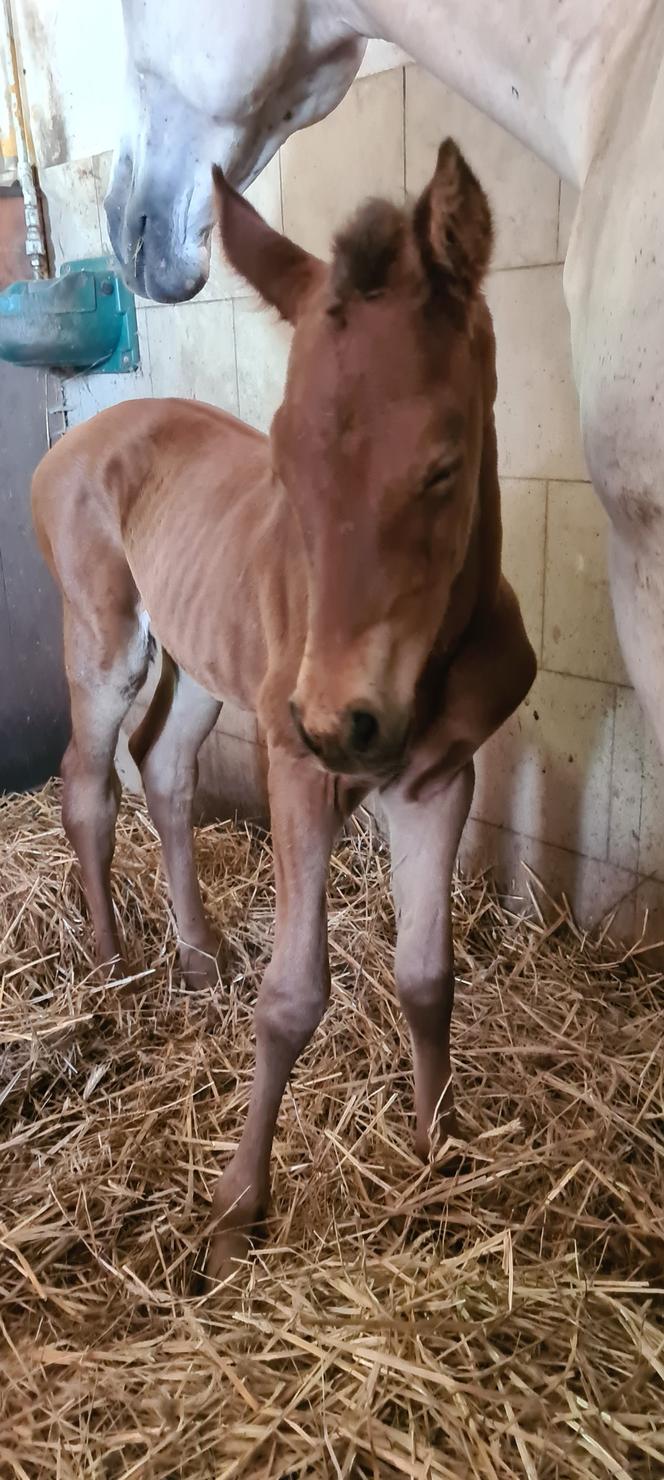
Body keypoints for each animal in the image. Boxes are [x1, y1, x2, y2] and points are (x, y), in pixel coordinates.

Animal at [33, 139, 535, 1272]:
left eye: (444, 466)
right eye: (286, 463)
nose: (343, 720)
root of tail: (79, 434)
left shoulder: (439, 777)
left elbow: (427, 976)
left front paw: (437, 1157)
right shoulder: (298, 769)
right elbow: (294, 996)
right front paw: (234, 1212)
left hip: (206, 666)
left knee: (162, 767)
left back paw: (195, 956)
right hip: (109, 634)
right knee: (87, 779)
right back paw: (112, 965)